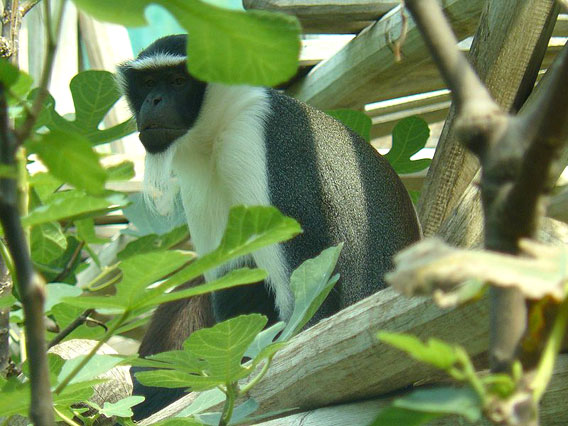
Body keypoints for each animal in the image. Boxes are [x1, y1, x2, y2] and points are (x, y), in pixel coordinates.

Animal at [116, 34, 418, 420]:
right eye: (149, 82)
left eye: (178, 81)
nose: (153, 101)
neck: (216, 132)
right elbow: (234, 285)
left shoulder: (261, 146)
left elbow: (311, 301)